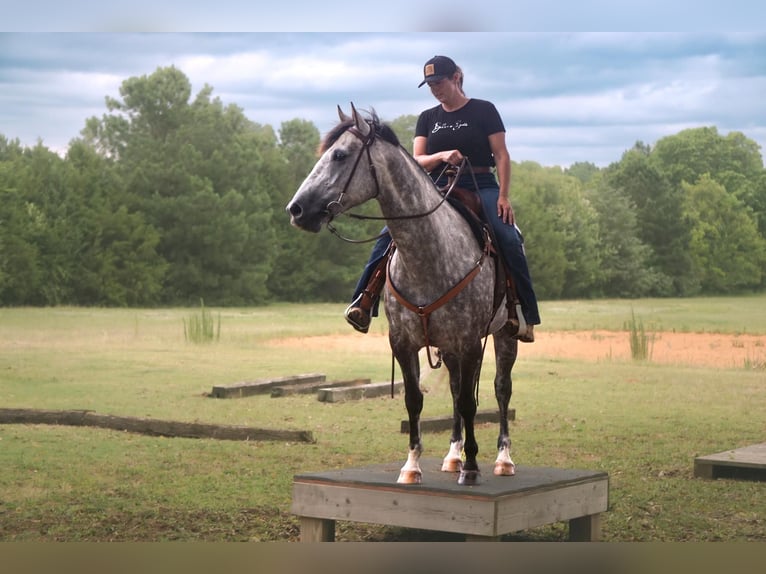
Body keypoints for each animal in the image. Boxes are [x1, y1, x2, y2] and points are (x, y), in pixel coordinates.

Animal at [288, 104, 520, 486]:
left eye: (340, 155)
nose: (296, 209)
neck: (428, 253)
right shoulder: (403, 341)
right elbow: (415, 400)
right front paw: (412, 465)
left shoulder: (470, 341)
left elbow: (472, 402)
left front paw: (473, 467)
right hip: (448, 347)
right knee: (455, 388)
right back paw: (453, 455)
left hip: (504, 335)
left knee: (501, 388)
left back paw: (503, 458)